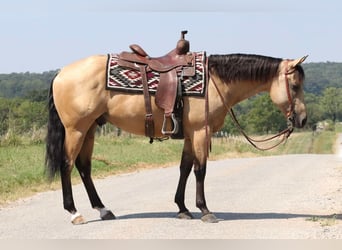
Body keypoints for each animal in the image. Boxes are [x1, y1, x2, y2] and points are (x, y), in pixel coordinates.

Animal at [45, 31, 308, 225]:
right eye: (295, 85)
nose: (303, 119)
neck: (215, 81)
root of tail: (61, 73)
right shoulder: (201, 132)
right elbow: (200, 170)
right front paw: (205, 210)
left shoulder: (191, 135)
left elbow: (184, 168)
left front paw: (182, 208)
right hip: (76, 129)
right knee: (67, 164)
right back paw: (74, 212)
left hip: (89, 129)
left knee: (84, 167)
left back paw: (103, 210)